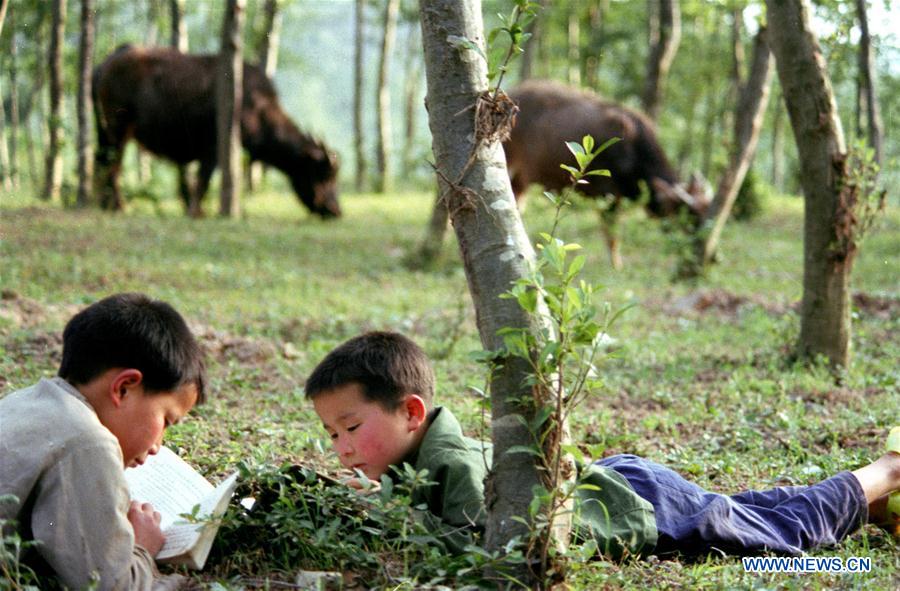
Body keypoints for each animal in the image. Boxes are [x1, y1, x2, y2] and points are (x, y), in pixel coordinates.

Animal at [93, 45, 342, 219]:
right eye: (323, 174)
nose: (335, 210)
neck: (256, 105)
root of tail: (107, 61)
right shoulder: (213, 148)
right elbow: (202, 180)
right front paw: (195, 212)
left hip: (107, 133)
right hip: (118, 131)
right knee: (112, 166)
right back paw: (118, 206)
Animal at [502, 80, 708, 270]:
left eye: (705, 209)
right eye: (690, 217)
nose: (709, 256)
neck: (633, 147)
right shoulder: (607, 195)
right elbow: (612, 235)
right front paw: (616, 265)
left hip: (520, 181)